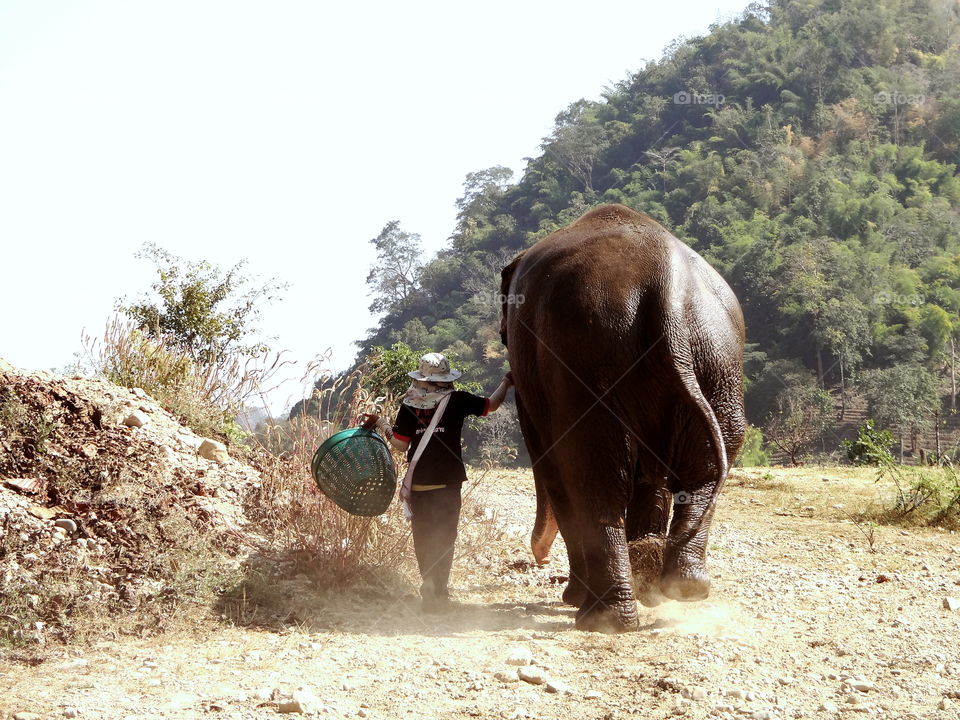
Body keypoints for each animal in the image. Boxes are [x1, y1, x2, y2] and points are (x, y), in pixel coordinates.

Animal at [499, 203, 745, 633]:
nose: (538, 558)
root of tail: (669, 290)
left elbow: (554, 466)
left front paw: (572, 597)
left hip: (591, 360)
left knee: (593, 477)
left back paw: (601, 616)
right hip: (716, 363)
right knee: (704, 470)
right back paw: (678, 586)